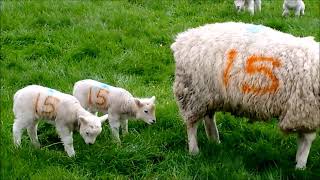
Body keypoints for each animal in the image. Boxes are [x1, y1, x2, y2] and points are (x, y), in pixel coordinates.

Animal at [171, 21, 320, 169]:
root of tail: (182, 39)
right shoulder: (306, 113)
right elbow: (307, 140)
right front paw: (300, 166)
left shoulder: (304, 113)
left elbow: (303, 140)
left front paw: (298, 163)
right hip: (193, 93)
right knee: (192, 124)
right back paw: (194, 151)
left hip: (209, 94)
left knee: (208, 117)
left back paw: (215, 141)